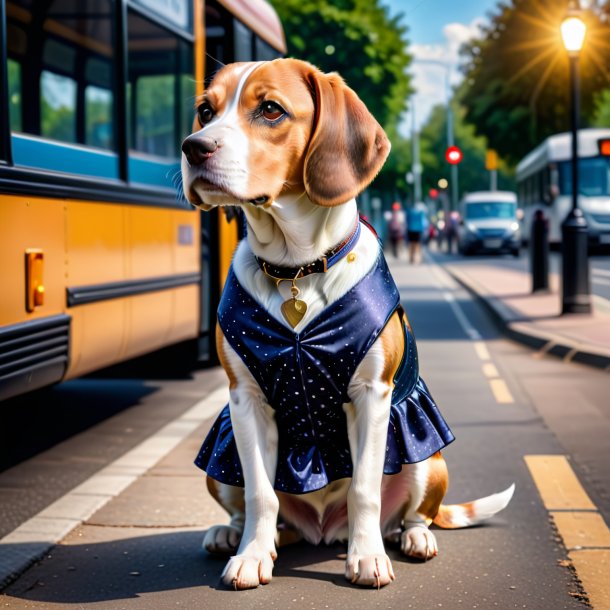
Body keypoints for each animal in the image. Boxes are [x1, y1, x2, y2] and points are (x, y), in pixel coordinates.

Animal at [180, 58, 512, 588]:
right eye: (205, 111)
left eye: (270, 109)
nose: (194, 147)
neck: (295, 268)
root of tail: (323, 532)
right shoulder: (244, 401)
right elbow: (260, 492)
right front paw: (251, 555)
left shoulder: (373, 396)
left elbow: (364, 488)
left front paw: (368, 557)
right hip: (219, 461)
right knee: (254, 508)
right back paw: (235, 534)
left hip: (429, 461)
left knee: (411, 514)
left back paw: (411, 537)